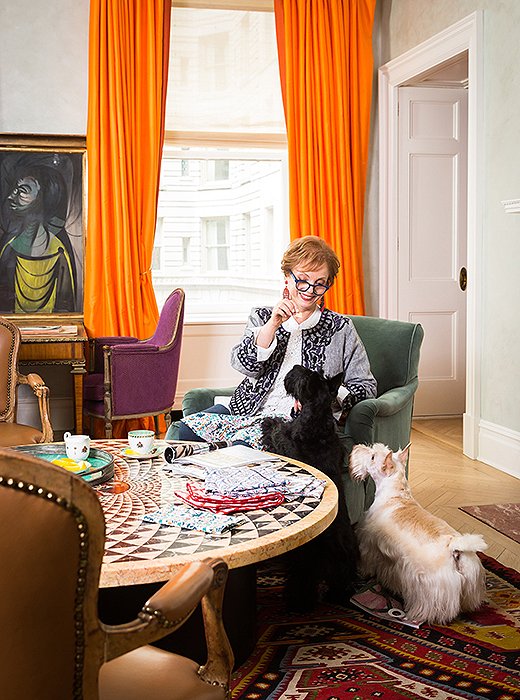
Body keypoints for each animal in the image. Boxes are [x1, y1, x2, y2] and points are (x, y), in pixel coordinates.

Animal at [262, 364, 360, 608]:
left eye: (304, 376)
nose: (296, 367)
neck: (317, 417)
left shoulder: (284, 441)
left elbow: (276, 430)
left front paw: (268, 422)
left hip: (304, 562)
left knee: (302, 586)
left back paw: (295, 604)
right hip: (345, 566)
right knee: (341, 586)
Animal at [350, 442, 488, 624]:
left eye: (373, 457)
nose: (355, 447)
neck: (396, 494)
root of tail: (455, 548)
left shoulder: (368, 543)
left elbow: (366, 561)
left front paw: (361, 571)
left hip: (428, 588)